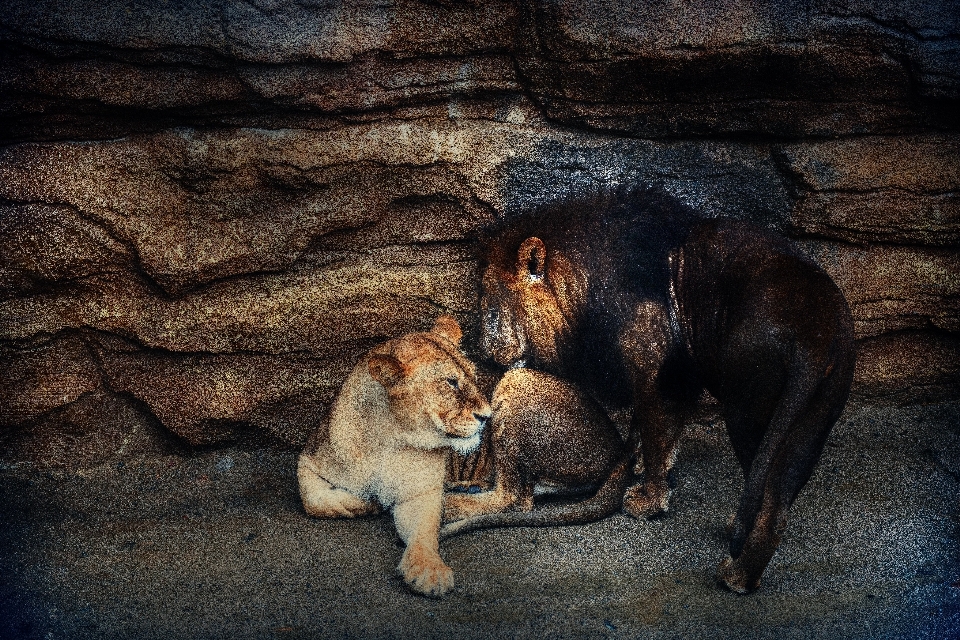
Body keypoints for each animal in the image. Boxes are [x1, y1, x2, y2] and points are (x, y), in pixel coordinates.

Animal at [296, 318, 492, 596]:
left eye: (474, 376)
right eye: (451, 382)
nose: (487, 416)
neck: (389, 439)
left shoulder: (420, 493)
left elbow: (424, 533)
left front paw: (429, 570)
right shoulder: (309, 458)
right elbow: (312, 499)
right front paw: (365, 504)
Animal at [480, 184, 856, 592]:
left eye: (490, 304)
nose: (480, 350)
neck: (585, 275)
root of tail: (817, 336)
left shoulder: (655, 366)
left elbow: (657, 433)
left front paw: (648, 501)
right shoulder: (679, 376)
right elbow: (653, 433)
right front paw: (639, 468)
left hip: (748, 407)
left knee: (767, 496)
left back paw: (735, 576)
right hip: (813, 419)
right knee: (780, 505)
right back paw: (740, 559)